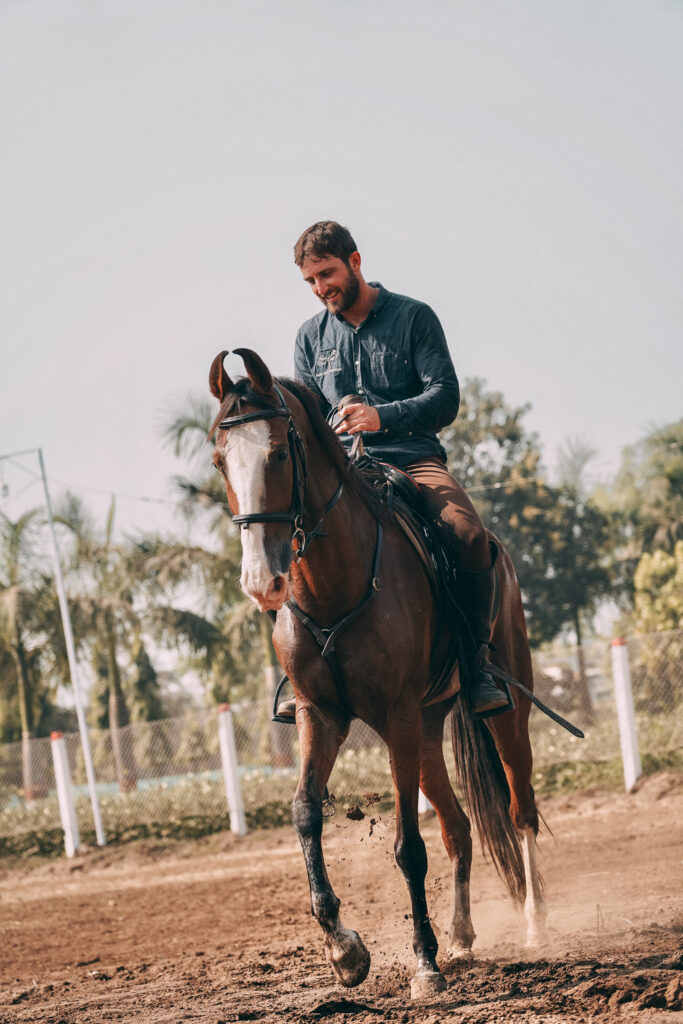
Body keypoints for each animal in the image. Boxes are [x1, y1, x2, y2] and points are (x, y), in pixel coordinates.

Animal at [209, 350, 548, 999]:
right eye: (219, 460)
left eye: (279, 454)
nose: (262, 581)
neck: (334, 585)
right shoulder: (321, 716)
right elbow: (304, 813)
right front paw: (345, 951)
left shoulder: (394, 717)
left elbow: (408, 846)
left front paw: (423, 965)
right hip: (427, 729)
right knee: (458, 828)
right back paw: (461, 935)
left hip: (500, 714)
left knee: (520, 809)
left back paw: (534, 923)